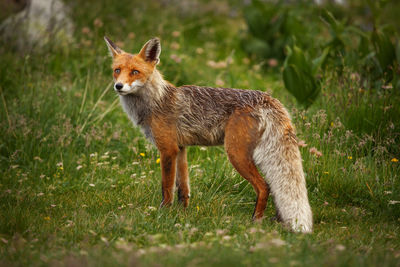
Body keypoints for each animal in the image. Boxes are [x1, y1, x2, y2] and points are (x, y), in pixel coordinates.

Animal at [103, 36, 312, 233]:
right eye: (117, 70)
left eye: (135, 72)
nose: (118, 86)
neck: (156, 101)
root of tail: (268, 98)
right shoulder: (180, 149)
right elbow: (183, 188)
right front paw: (181, 215)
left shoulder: (167, 149)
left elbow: (167, 187)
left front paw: (163, 214)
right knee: (276, 189)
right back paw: (277, 222)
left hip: (236, 154)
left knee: (264, 187)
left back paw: (255, 221)